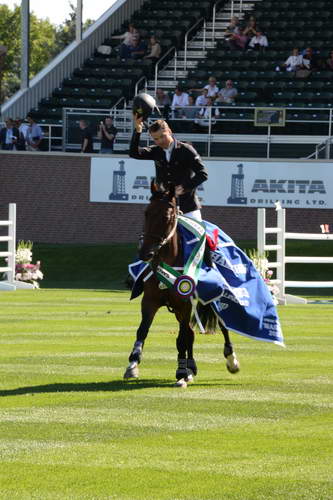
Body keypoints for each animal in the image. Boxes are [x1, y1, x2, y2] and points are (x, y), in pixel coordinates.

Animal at [124, 182, 239, 384]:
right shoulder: (150, 301)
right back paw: (191, 367)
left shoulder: (185, 304)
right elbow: (143, 330)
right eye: (146, 213)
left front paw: (181, 371)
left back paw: (230, 360)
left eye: (167, 216)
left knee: (222, 326)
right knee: (190, 333)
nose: (145, 253)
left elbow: (181, 339)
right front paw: (133, 364)